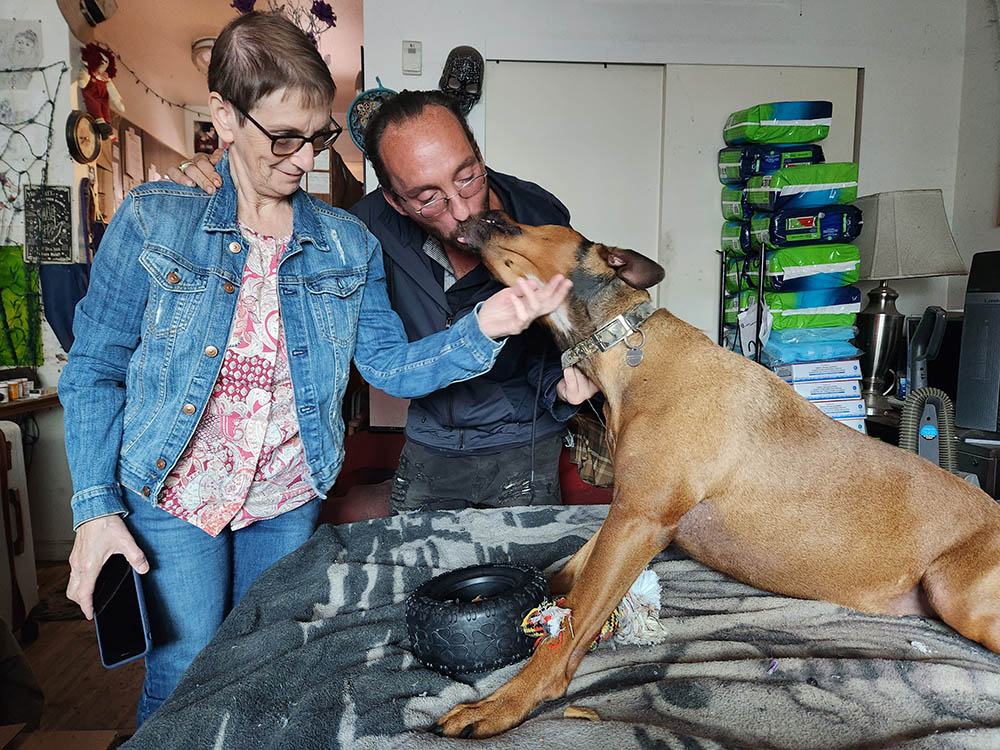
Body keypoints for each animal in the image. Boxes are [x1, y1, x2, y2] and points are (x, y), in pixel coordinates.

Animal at [434, 212, 1000, 740]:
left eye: (523, 222)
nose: (476, 215)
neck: (626, 348)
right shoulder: (628, 509)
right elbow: (566, 573)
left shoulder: (640, 518)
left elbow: (572, 621)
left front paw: (504, 702)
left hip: (956, 592)